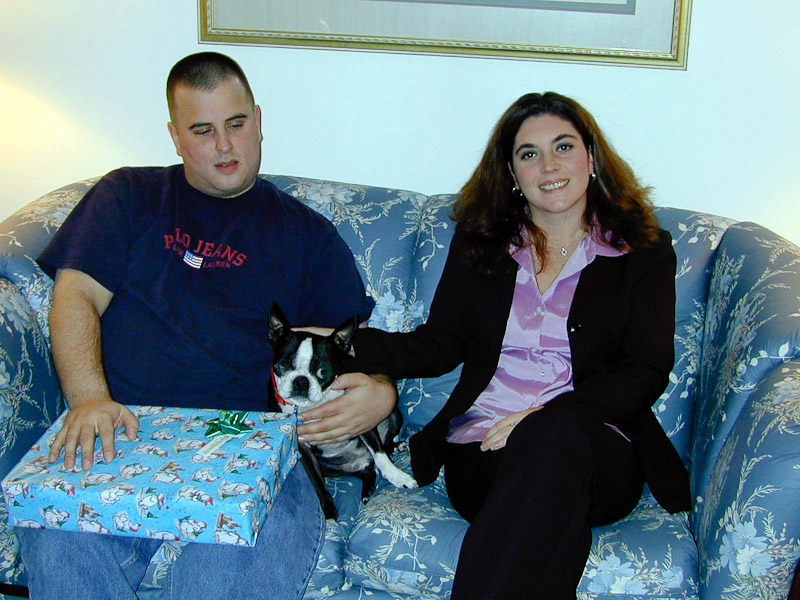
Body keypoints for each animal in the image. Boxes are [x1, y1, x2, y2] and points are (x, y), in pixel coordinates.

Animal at [266, 303, 417, 519]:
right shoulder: (302, 446)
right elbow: (319, 485)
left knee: (382, 449)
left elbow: (380, 454)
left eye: (323, 372)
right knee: (367, 472)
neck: (313, 405)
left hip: (394, 415)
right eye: (283, 365)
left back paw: (395, 448)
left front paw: (397, 476)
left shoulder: (361, 415)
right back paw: (367, 489)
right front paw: (329, 514)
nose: (301, 381)